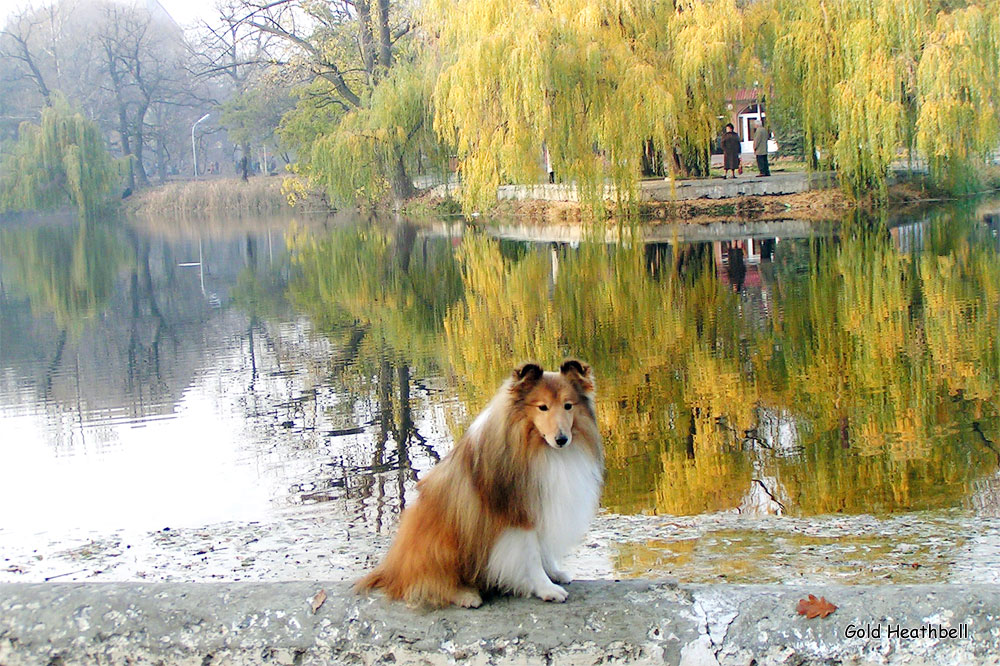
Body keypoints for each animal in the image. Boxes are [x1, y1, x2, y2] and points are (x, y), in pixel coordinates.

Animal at [358, 358, 600, 608]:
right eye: (542, 407)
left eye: (568, 406)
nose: (562, 439)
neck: (537, 446)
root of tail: (391, 570)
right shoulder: (518, 515)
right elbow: (531, 556)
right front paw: (546, 588)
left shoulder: (541, 507)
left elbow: (544, 548)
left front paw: (554, 572)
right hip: (440, 544)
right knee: (428, 585)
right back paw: (466, 595)